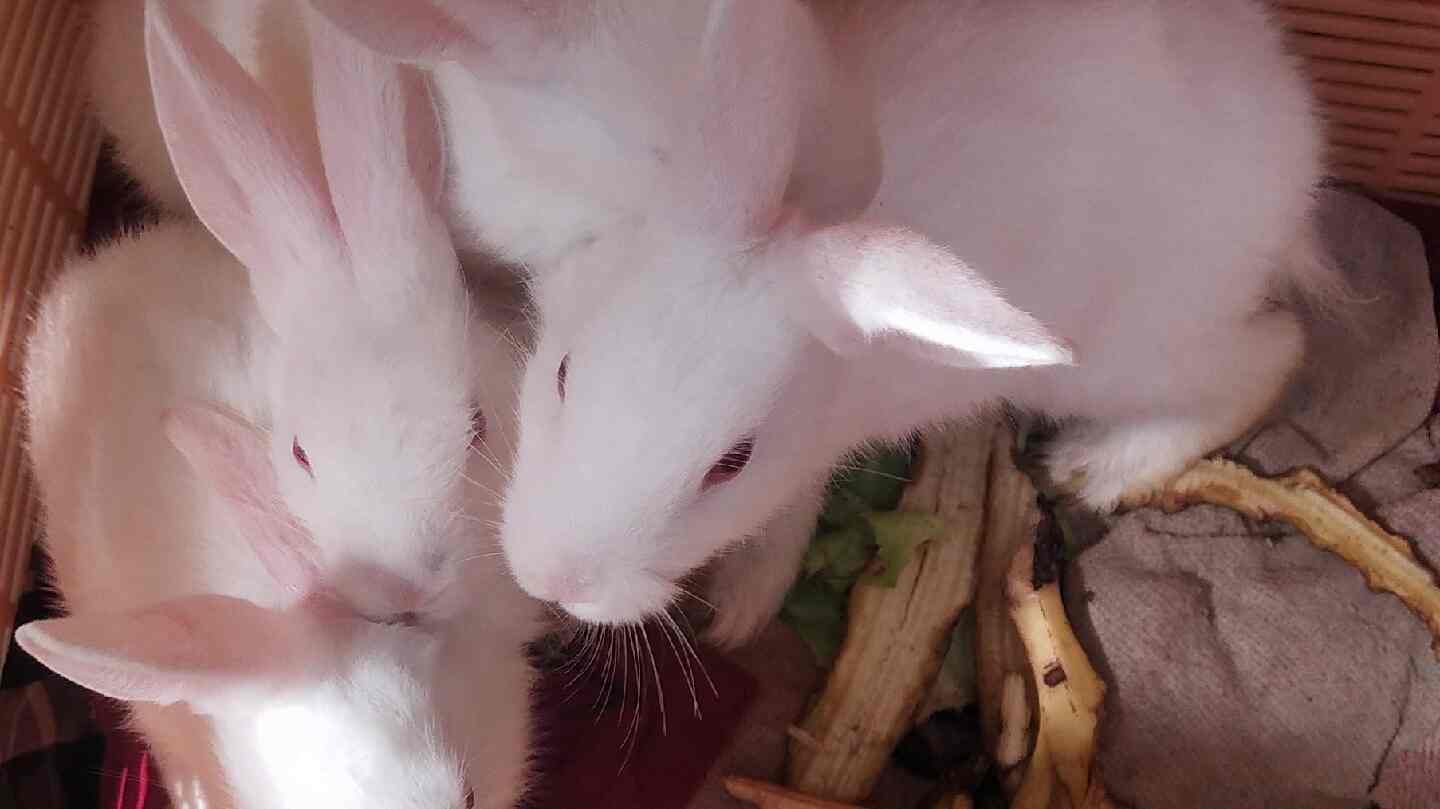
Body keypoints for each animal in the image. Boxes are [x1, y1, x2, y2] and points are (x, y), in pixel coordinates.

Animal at [463, 0, 1343, 647]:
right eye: (563, 373)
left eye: (731, 464)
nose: (550, 579)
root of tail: (1298, 148)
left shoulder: (808, 458)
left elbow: (784, 521)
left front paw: (740, 616)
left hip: (1122, 355)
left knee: (1274, 353)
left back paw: (1099, 465)